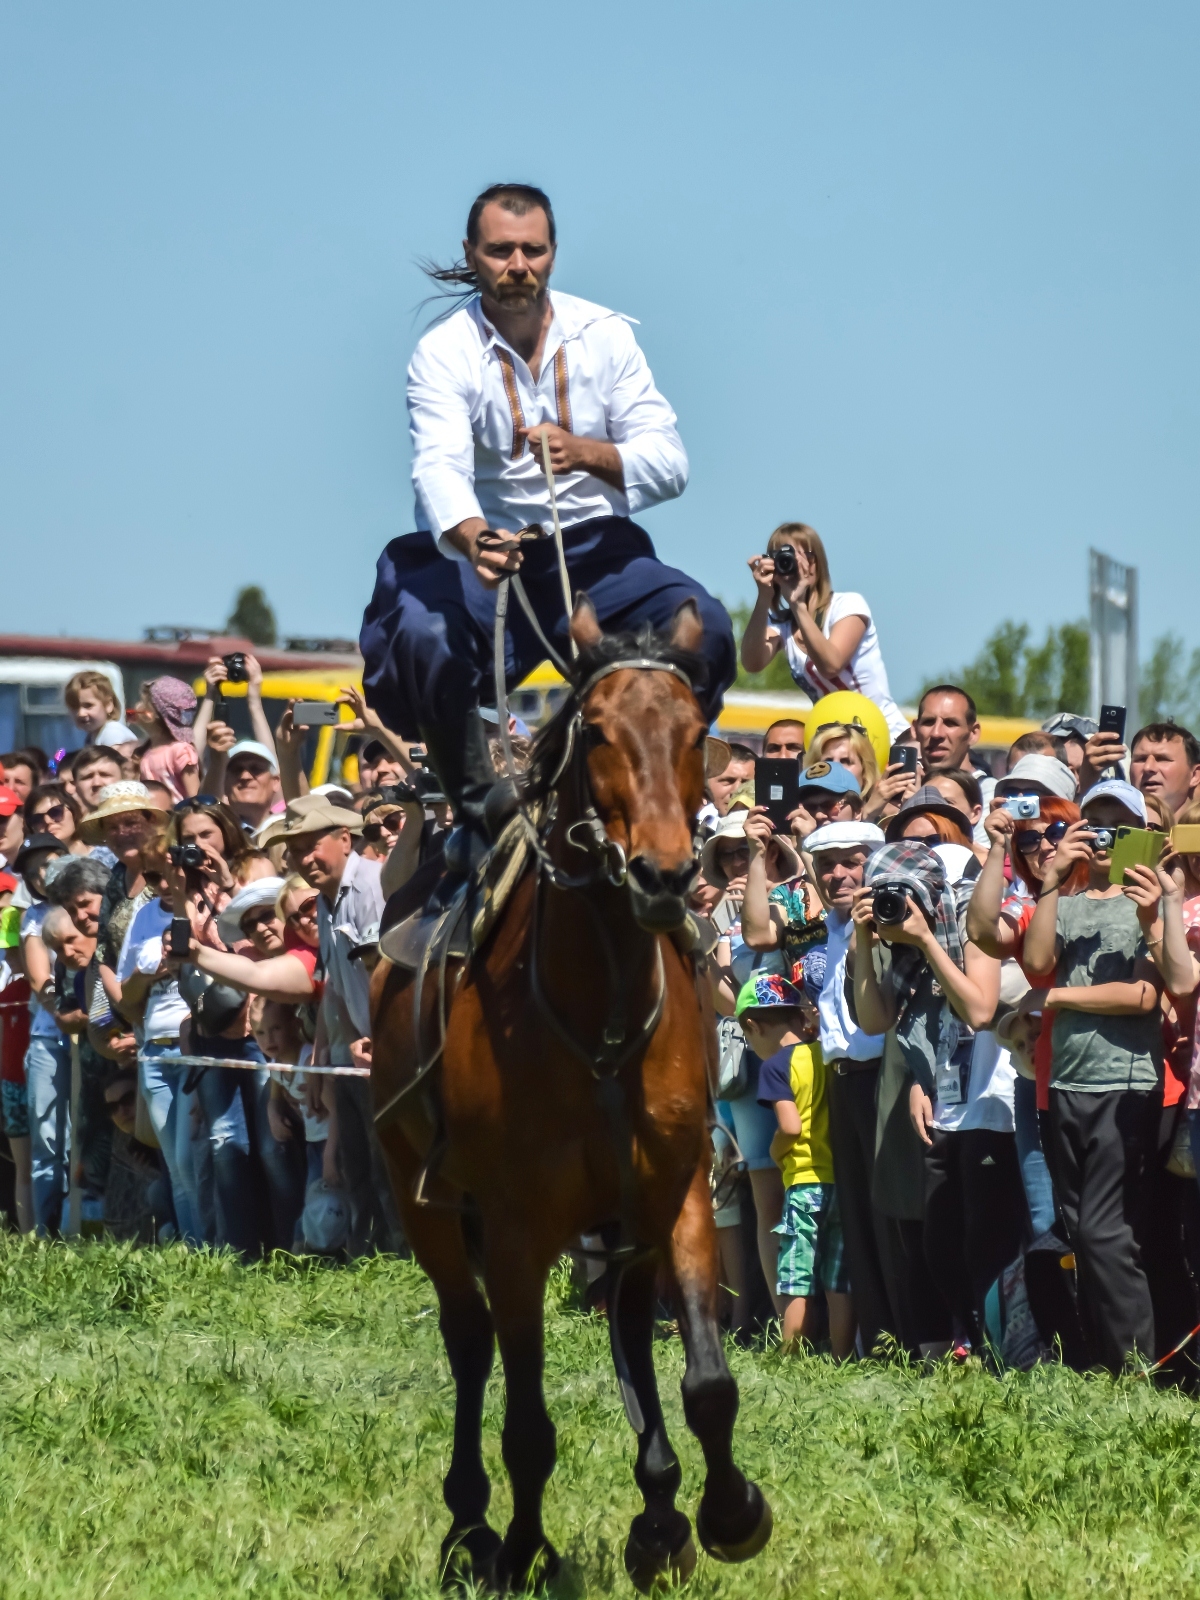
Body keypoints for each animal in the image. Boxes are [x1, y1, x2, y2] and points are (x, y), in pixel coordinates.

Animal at [371, 595, 774, 1593]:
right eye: (594, 730)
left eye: (697, 731)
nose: (666, 875)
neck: (600, 1019)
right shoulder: (517, 1230)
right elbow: (528, 1425)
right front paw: (521, 1552)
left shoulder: (678, 1196)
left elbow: (708, 1382)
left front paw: (726, 1514)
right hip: (423, 1201)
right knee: (469, 1339)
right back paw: (472, 1526)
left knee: (627, 1325)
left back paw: (660, 1514)